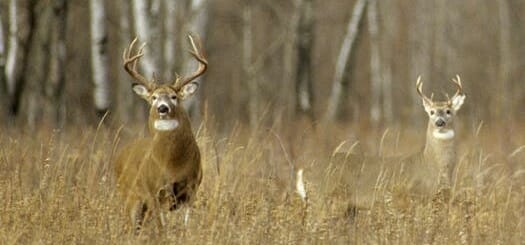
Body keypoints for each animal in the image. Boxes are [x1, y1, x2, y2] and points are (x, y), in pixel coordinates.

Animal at [114, 35, 207, 232]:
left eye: (174, 97)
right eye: (154, 97)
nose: (162, 108)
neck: (173, 165)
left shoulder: (191, 188)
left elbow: (186, 224)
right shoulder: (156, 191)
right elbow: (162, 226)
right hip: (128, 195)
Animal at [330, 74, 464, 214]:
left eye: (448, 111)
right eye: (432, 112)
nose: (439, 122)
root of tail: (333, 159)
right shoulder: (413, 196)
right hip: (338, 197)